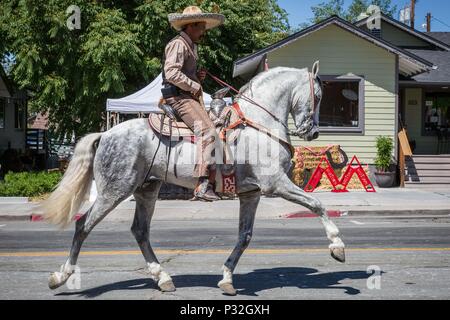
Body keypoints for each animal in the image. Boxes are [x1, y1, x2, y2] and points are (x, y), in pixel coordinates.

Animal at [40, 63, 346, 296]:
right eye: (320, 95)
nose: (312, 132)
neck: (259, 123)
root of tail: (105, 134)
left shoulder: (252, 193)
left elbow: (244, 236)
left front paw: (226, 279)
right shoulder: (276, 184)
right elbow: (317, 204)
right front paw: (337, 246)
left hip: (146, 190)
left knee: (140, 231)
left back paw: (163, 278)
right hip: (114, 191)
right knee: (83, 226)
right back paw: (61, 276)